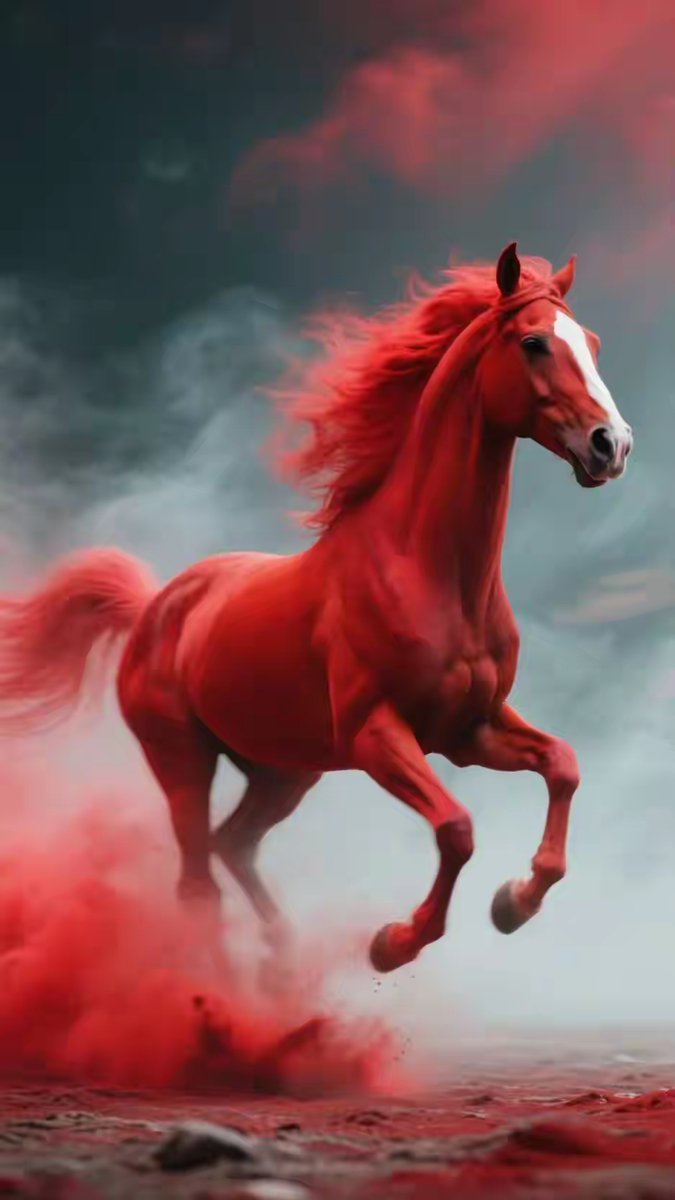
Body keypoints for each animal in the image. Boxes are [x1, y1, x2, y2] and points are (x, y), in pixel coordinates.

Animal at [0, 243, 632, 974]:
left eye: (591, 343)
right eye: (533, 342)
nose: (611, 445)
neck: (426, 571)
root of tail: (156, 604)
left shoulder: (468, 730)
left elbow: (562, 764)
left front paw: (513, 903)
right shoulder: (375, 735)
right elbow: (456, 828)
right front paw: (392, 945)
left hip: (283, 771)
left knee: (233, 844)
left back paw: (281, 960)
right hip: (181, 760)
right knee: (198, 883)